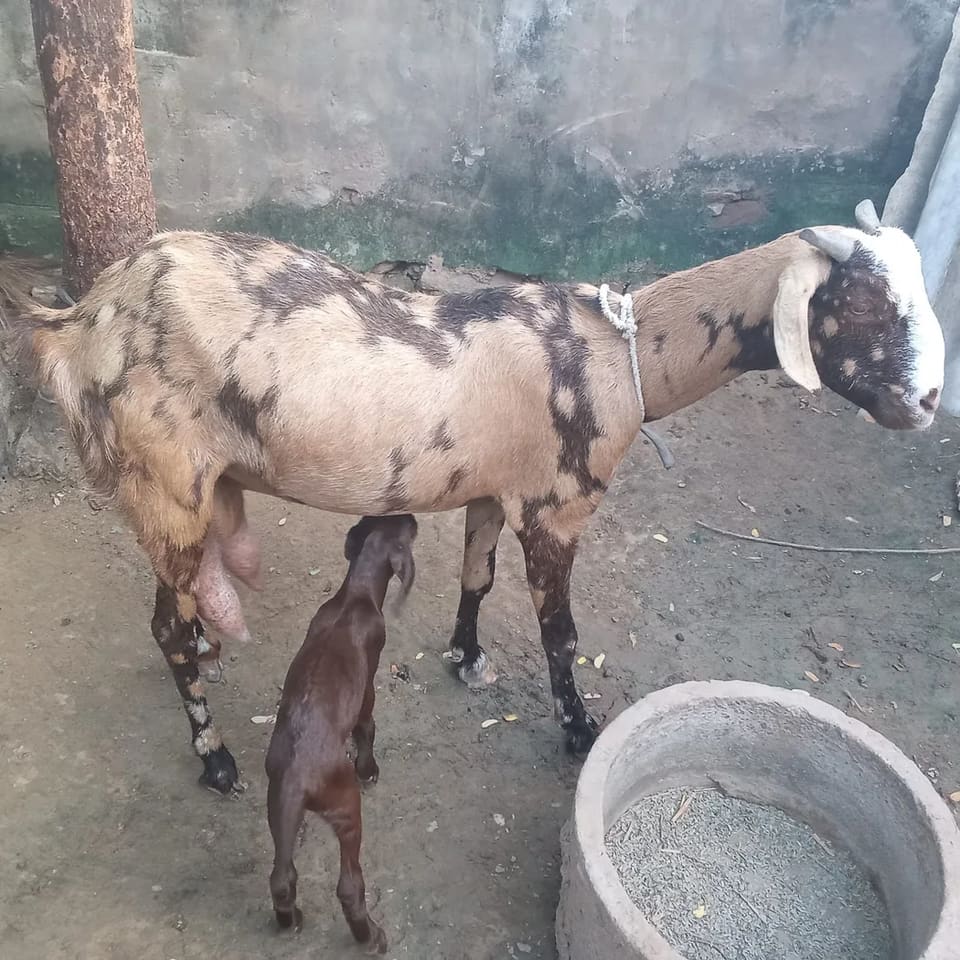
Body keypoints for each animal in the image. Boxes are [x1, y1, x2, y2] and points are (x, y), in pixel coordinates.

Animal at [0, 199, 944, 793]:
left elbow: (478, 579)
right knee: (165, 625)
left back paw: (209, 660)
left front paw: (466, 655)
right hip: (168, 484)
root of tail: (81, 319)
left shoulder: (497, 491)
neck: (623, 354)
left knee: (183, 613)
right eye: (861, 301)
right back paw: (215, 758)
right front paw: (578, 731)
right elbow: (562, 635)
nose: (929, 402)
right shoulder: (558, 505)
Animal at [265, 514, 415, 953]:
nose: (413, 515)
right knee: (349, 886)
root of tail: (298, 779)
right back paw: (371, 937)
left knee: (282, 878)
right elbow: (367, 725)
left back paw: (290, 921)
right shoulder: (368, 682)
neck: (355, 594)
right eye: (404, 527)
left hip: (278, 808)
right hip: (348, 811)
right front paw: (370, 767)